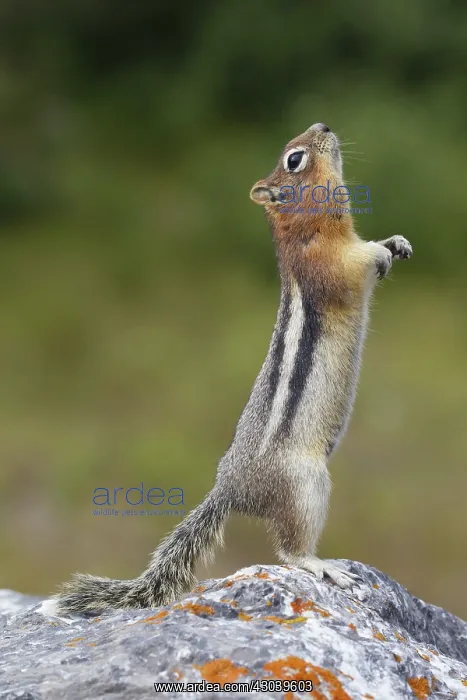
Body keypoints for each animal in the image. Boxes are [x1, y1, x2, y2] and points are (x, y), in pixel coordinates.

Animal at [53, 122, 412, 613]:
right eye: (294, 159)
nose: (323, 126)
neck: (308, 224)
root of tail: (231, 488)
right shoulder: (324, 262)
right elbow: (351, 267)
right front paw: (379, 252)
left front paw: (397, 243)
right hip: (305, 485)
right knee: (288, 547)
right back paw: (320, 564)